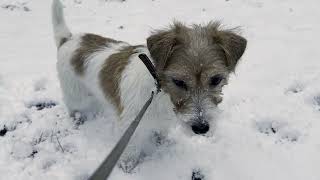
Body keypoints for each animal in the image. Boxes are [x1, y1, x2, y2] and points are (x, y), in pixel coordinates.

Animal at [52, 0, 248, 172]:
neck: (159, 92)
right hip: (75, 94)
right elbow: (130, 148)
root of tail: (68, 39)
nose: (201, 128)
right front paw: (127, 165)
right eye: (179, 82)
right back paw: (78, 118)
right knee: (73, 106)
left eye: (216, 79)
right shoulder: (130, 124)